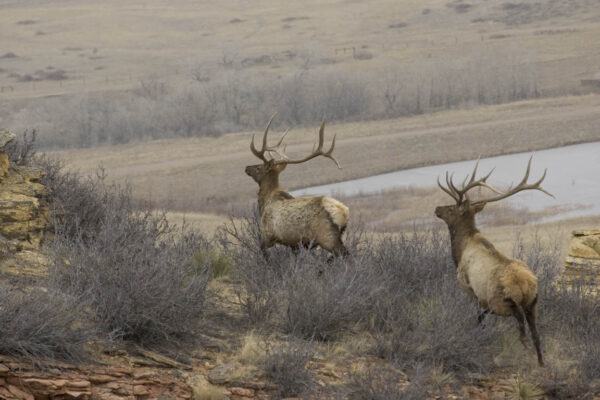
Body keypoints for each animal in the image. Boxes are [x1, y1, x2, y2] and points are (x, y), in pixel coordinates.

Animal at [244, 117, 346, 258]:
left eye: (259, 167)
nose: (247, 167)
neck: (264, 203)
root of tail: (344, 212)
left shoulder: (268, 235)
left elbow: (264, 253)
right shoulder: (295, 244)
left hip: (327, 237)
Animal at [436, 156, 552, 366]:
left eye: (451, 207)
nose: (436, 209)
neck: (460, 251)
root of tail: (525, 284)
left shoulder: (469, 288)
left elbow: (478, 318)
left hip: (504, 300)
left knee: (522, 327)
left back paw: (526, 349)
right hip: (534, 302)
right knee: (537, 334)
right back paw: (541, 363)